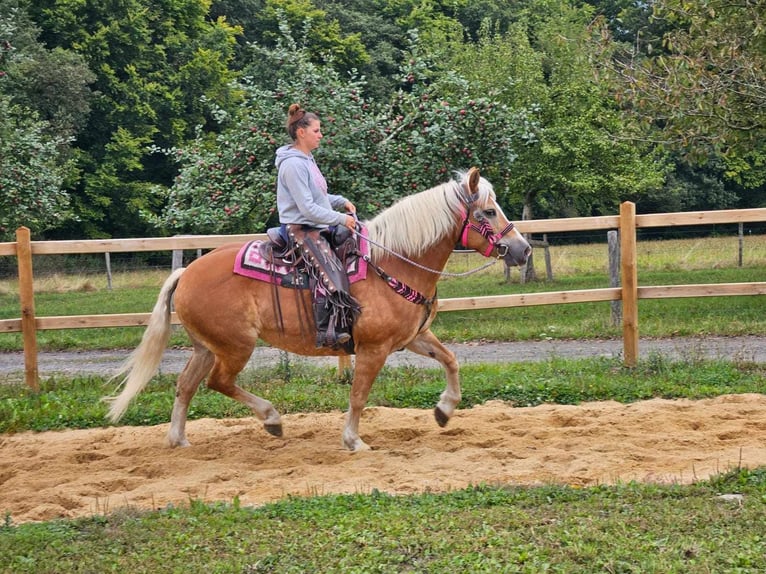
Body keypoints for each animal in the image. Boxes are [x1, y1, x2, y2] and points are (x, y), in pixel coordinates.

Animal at [105, 169, 532, 452]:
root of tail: (186, 272)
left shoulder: (413, 337)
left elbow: (451, 360)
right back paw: (272, 419)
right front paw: (353, 440)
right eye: (488, 212)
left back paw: (179, 439)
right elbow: (359, 395)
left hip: (206, 346)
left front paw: (444, 411)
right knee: (217, 383)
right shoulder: (374, 348)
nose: (523, 249)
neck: (393, 263)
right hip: (235, 346)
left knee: (186, 385)